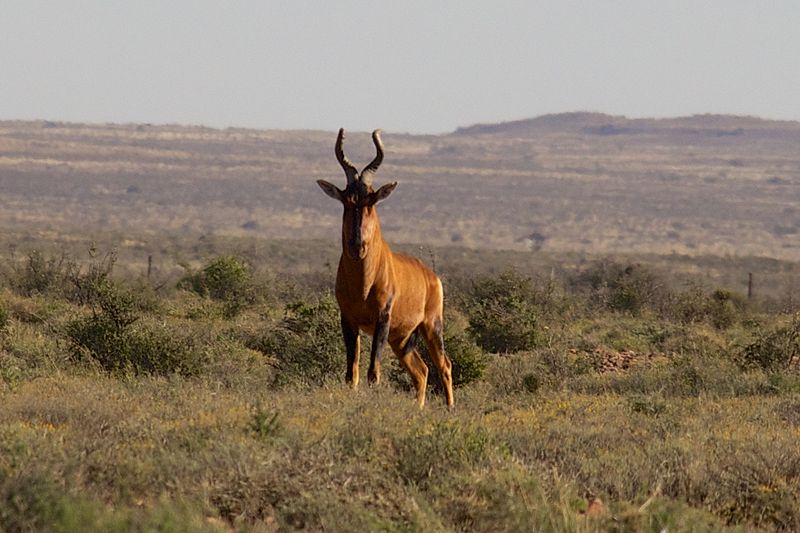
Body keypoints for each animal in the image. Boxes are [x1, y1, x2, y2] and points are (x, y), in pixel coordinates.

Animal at [318, 129, 456, 408]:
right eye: (346, 201)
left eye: (372, 200)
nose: (357, 246)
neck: (363, 283)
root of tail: (432, 277)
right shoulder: (348, 320)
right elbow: (352, 372)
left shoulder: (383, 319)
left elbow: (374, 372)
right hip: (401, 339)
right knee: (421, 371)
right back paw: (418, 408)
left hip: (431, 326)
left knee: (444, 365)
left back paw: (450, 409)